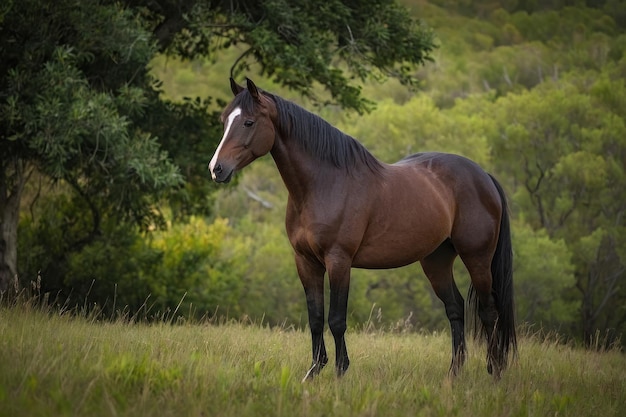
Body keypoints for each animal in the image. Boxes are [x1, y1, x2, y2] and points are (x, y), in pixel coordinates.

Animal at [207, 77, 516, 380]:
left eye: (248, 122)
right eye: (224, 120)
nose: (216, 169)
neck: (324, 184)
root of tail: (483, 175)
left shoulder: (339, 260)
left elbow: (336, 320)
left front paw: (340, 372)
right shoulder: (305, 262)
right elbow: (315, 318)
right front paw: (314, 371)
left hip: (477, 258)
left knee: (489, 311)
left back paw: (495, 372)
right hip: (436, 260)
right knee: (455, 308)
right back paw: (454, 373)